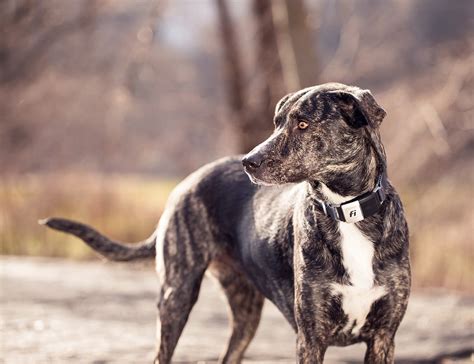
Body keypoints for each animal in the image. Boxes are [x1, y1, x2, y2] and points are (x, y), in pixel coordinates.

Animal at [41, 83, 412, 364]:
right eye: (277, 122)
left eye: (304, 124)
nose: (249, 161)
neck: (346, 210)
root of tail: (187, 182)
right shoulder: (311, 337)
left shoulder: (383, 338)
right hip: (177, 295)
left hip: (245, 311)